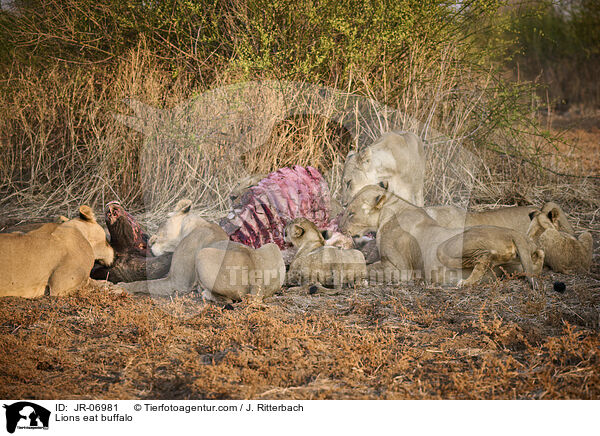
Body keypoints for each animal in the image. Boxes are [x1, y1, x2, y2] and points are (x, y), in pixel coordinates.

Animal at [338, 186, 544, 288]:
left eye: (351, 213)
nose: (339, 228)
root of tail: (513, 233)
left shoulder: (400, 269)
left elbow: (367, 267)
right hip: (518, 263)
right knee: (539, 254)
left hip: (446, 248)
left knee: (485, 257)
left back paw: (465, 282)